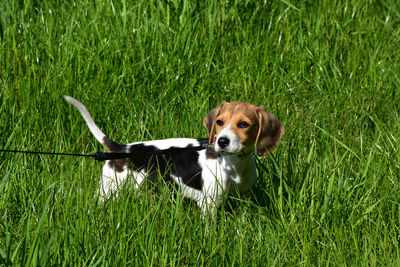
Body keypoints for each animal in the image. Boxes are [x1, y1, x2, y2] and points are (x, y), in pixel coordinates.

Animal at [65, 97, 284, 215]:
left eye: (243, 124)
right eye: (220, 122)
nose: (222, 141)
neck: (234, 164)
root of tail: (121, 148)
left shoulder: (244, 197)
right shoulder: (209, 203)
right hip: (109, 189)